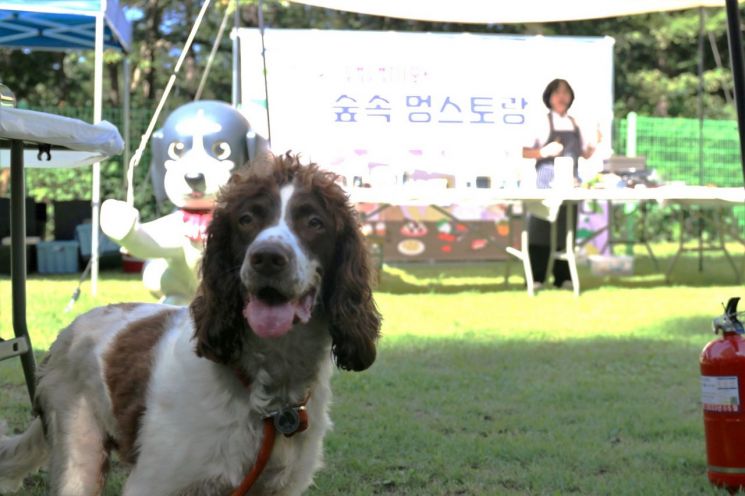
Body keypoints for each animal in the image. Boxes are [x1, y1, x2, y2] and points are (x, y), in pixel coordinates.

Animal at [0, 153, 380, 494]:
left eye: (315, 222)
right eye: (246, 219)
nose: (268, 258)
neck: (266, 391)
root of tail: (64, 335)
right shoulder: (154, 483)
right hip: (79, 452)